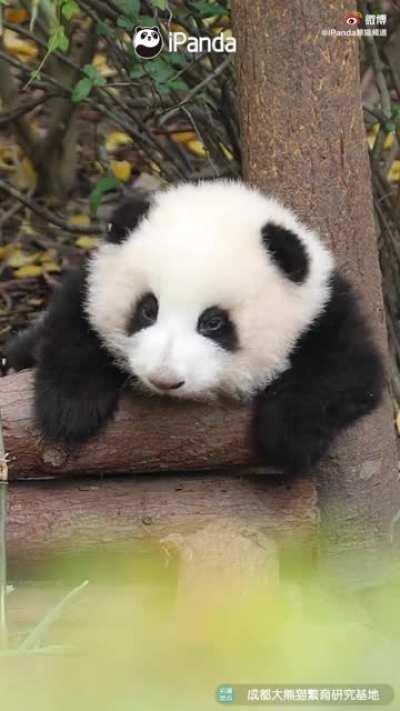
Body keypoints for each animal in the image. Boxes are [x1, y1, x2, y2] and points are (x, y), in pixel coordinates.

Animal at [4, 180, 383, 475]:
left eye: (213, 322)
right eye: (148, 309)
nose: (164, 378)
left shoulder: (326, 311)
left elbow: (346, 371)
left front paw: (291, 437)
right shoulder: (84, 290)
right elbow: (70, 331)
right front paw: (70, 409)